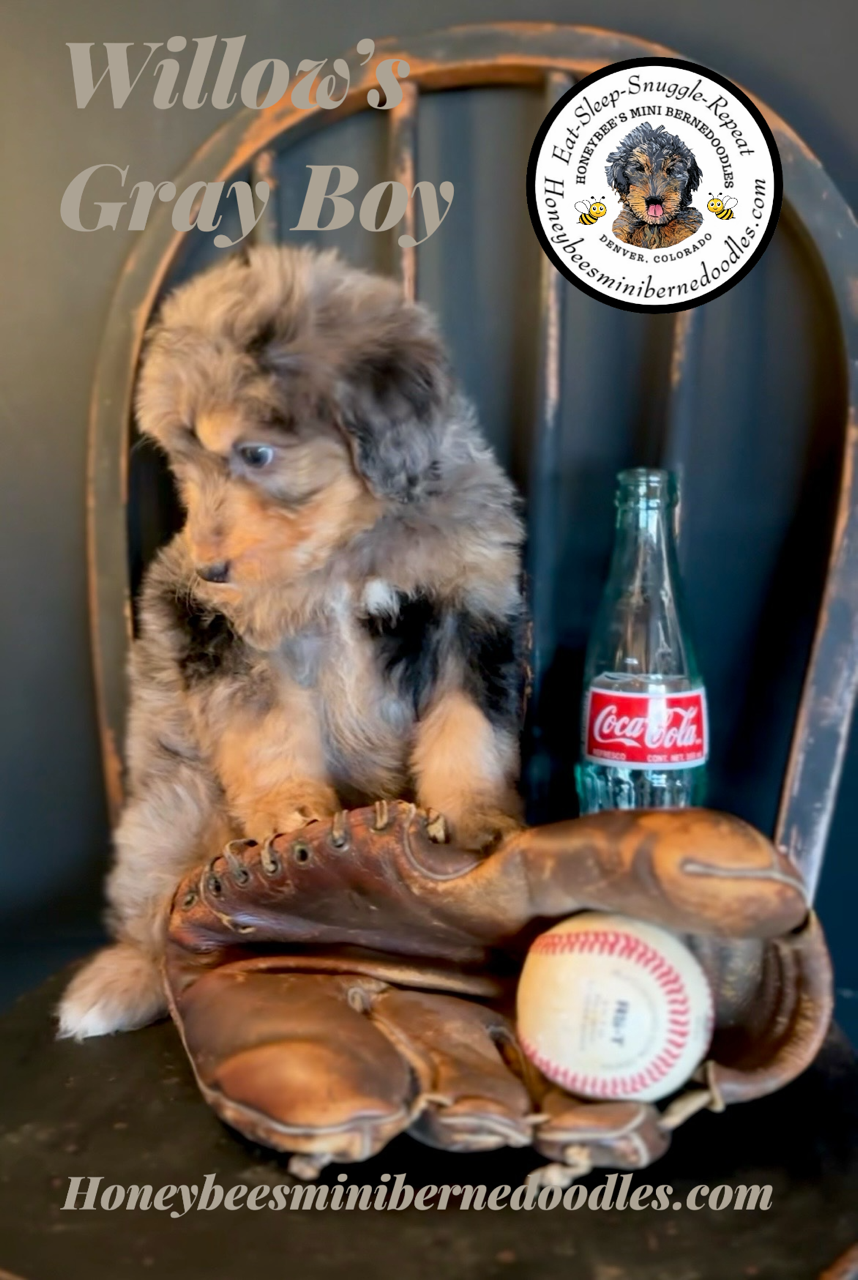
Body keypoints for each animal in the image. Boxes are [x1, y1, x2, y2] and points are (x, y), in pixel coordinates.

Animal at [58, 245, 525, 1040]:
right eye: (183, 460)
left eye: (255, 454)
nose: (210, 567)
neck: (348, 546)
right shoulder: (239, 635)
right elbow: (268, 732)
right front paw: (288, 814)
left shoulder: (472, 610)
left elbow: (470, 729)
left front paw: (474, 819)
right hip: (175, 805)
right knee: (153, 911)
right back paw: (130, 976)